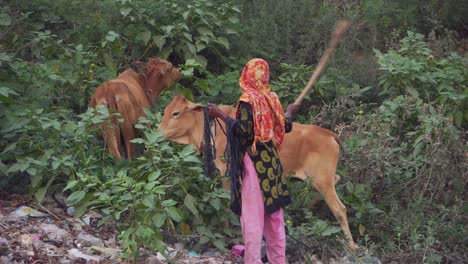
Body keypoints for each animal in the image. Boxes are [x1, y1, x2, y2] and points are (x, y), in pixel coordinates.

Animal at [160, 95, 358, 250]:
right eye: (165, 110)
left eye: (176, 113)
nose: (159, 131)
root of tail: (329, 134)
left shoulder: (227, 172)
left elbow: (228, 204)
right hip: (321, 179)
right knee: (336, 180)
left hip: (322, 181)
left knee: (340, 209)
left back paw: (352, 246)